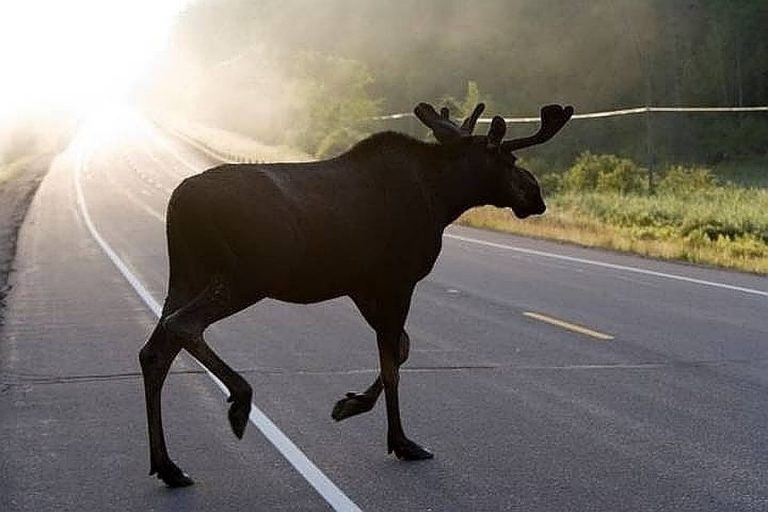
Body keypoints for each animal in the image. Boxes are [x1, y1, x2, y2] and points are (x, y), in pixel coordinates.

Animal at [138, 102, 572, 486]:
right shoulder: (397, 280)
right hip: (245, 276)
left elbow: (401, 349)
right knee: (182, 325)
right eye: (509, 161)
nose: (536, 196)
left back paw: (168, 466)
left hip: (187, 275)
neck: (444, 199)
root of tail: (177, 202)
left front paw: (350, 404)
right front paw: (401, 442)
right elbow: (393, 363)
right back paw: (239, 402)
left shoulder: (363, 287)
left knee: (154, 352)